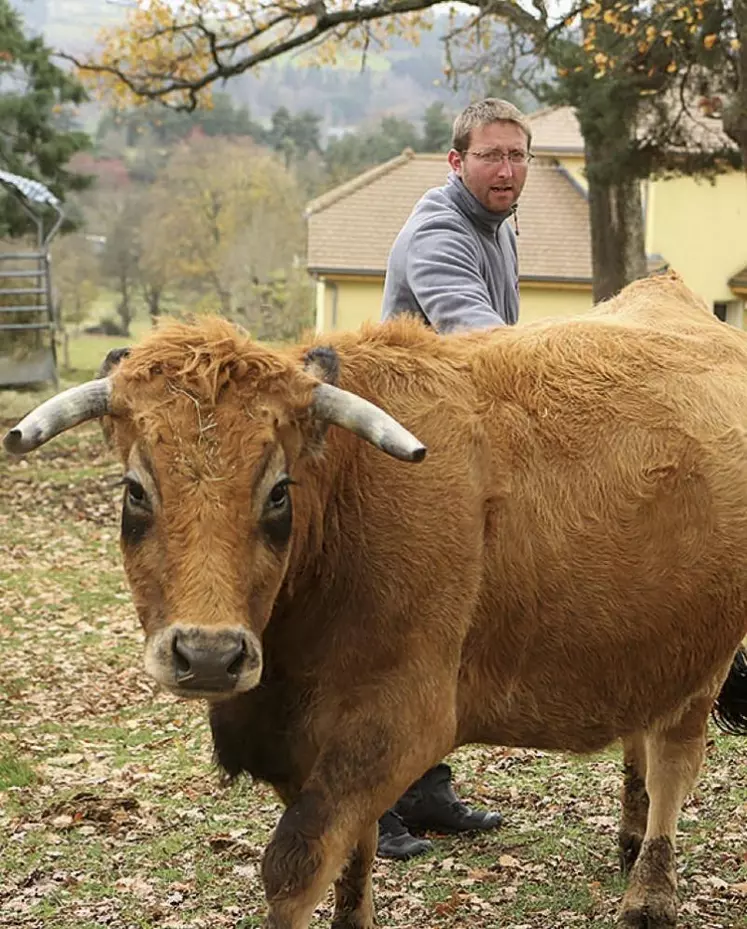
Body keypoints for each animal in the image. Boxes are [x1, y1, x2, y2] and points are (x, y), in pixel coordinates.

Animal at [5, 270, 747, 928]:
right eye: (135, 490)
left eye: (279, 492)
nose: (209, 654)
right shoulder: (304, 744)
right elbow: (352, 860)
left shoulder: (394, 723)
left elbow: (296, 864)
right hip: (649, 644)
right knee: (642, 736)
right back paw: (629, 838)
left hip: (704, 652)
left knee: (674, 759)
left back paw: (650, 890)